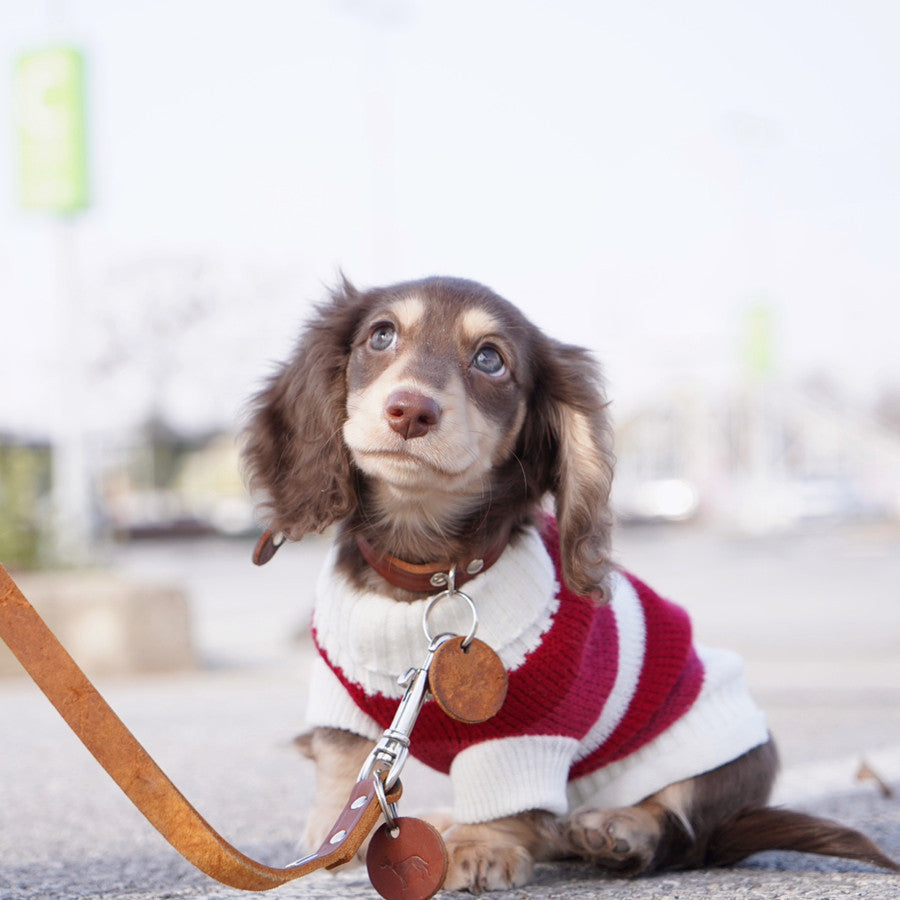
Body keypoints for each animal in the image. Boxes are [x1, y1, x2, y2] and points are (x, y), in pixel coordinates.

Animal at [241, 276, 900, 892]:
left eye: (490, 359)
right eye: (381, 336)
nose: (410, 410)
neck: (430, 572)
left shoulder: (526, 727)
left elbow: (508, 794)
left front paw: (482, 846)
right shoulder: (338, 692)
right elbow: (345, 759)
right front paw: (332, 834)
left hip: (723, 747)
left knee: (683, 830)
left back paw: (618, 829)